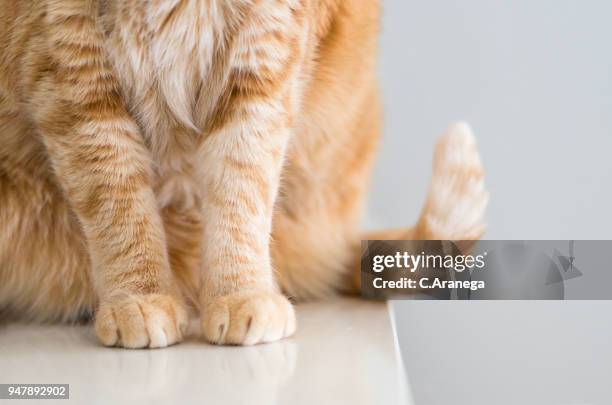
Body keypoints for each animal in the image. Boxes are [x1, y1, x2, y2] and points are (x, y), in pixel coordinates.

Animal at [0, 0, 488, 348]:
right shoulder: (70, 71)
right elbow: (119, 205)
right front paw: (139, 297)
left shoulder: (262, 62)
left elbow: (240, 193)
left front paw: (240, 294)